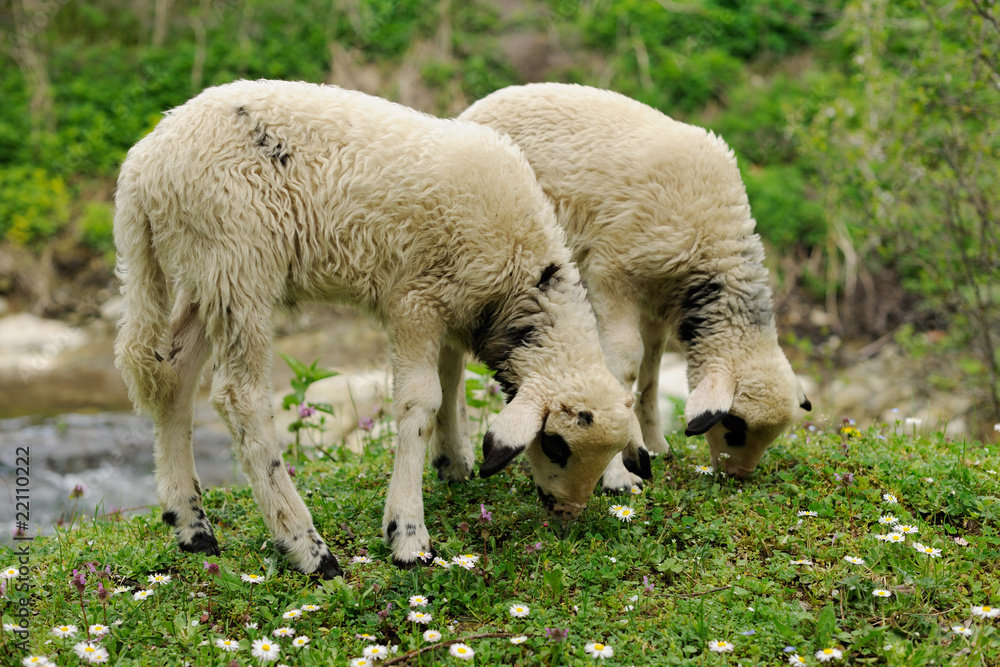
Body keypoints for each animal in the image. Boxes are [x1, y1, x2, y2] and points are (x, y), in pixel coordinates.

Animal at [113, 79, 651, 575]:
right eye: (556, 445)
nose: (567, 514)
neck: (520, 276)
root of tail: (143, 165)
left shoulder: (454, 303)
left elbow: (450, 381)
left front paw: (453, 465)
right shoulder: (415, 300)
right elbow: (422, 402)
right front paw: (408, 535)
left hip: (203, 271)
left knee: (174, 377)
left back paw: (192, 528)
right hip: (237, 259)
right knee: (238, 397)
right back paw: (308, 549)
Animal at [460, 83, 811, 486]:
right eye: (735, 426)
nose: (738, 475)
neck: (711, 238)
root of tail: (475, 107)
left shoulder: (658, 298)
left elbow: (652, 369)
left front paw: (655, 444)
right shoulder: (613, 273)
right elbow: (626, 364)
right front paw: (619, 473)